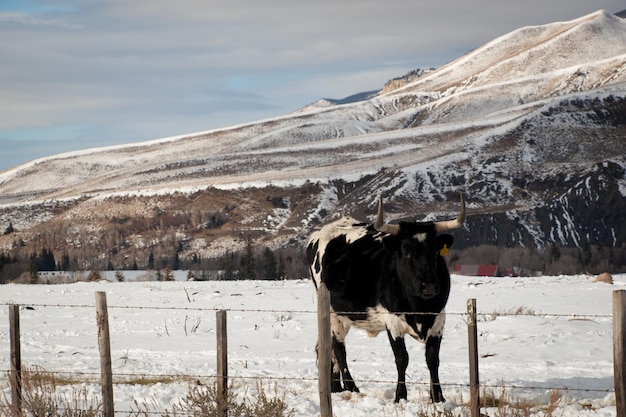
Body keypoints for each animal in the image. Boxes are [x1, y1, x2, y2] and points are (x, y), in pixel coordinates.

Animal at [306, 197, 464, 402]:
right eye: (406, 252)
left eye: (435, 252)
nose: (429, 286)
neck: (418, 308)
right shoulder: (392, 321)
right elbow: (402, 358)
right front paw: (400, 396)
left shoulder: (438, 320)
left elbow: (432, 359)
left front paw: (438, 397)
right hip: (333, 314)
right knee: (339, 350)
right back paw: (351, 388)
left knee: (328, 349)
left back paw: (335, 388)